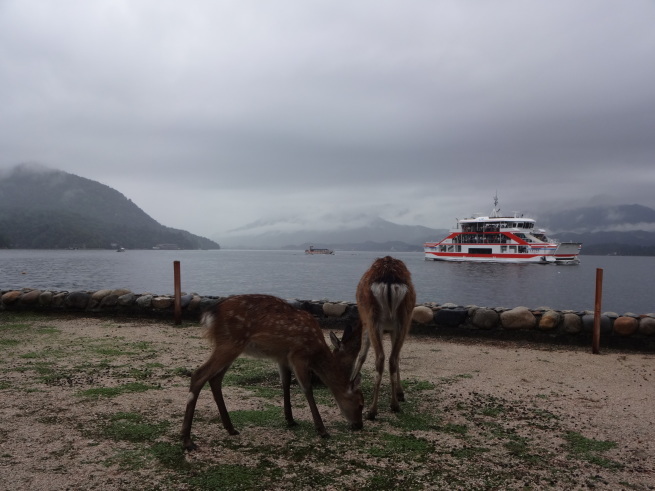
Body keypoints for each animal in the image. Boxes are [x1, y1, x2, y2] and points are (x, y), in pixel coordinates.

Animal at [182, 294, 364, 452]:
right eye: (360, 403)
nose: (359, 425)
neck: (315, 350)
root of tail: (209, 315)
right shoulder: (298, 354)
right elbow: (307, 388)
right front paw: (322, 430)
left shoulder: (282, 357)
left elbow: (285, 383)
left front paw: (290, 419)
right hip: (230, 343)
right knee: (199, 374)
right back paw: (187, 441)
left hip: (231, 346)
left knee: (215, 378)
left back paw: (231, 428)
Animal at [352, 256, 418, 420]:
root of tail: (389, 278)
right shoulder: (394, 329)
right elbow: (398, 357)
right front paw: (400, 393)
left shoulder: (365, 323)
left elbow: (362, 354)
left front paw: (351, 380)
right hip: (404, 319)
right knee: (392, 359)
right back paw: (395, 404)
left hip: (373, 319)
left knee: (380, 358)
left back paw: (372, 411)